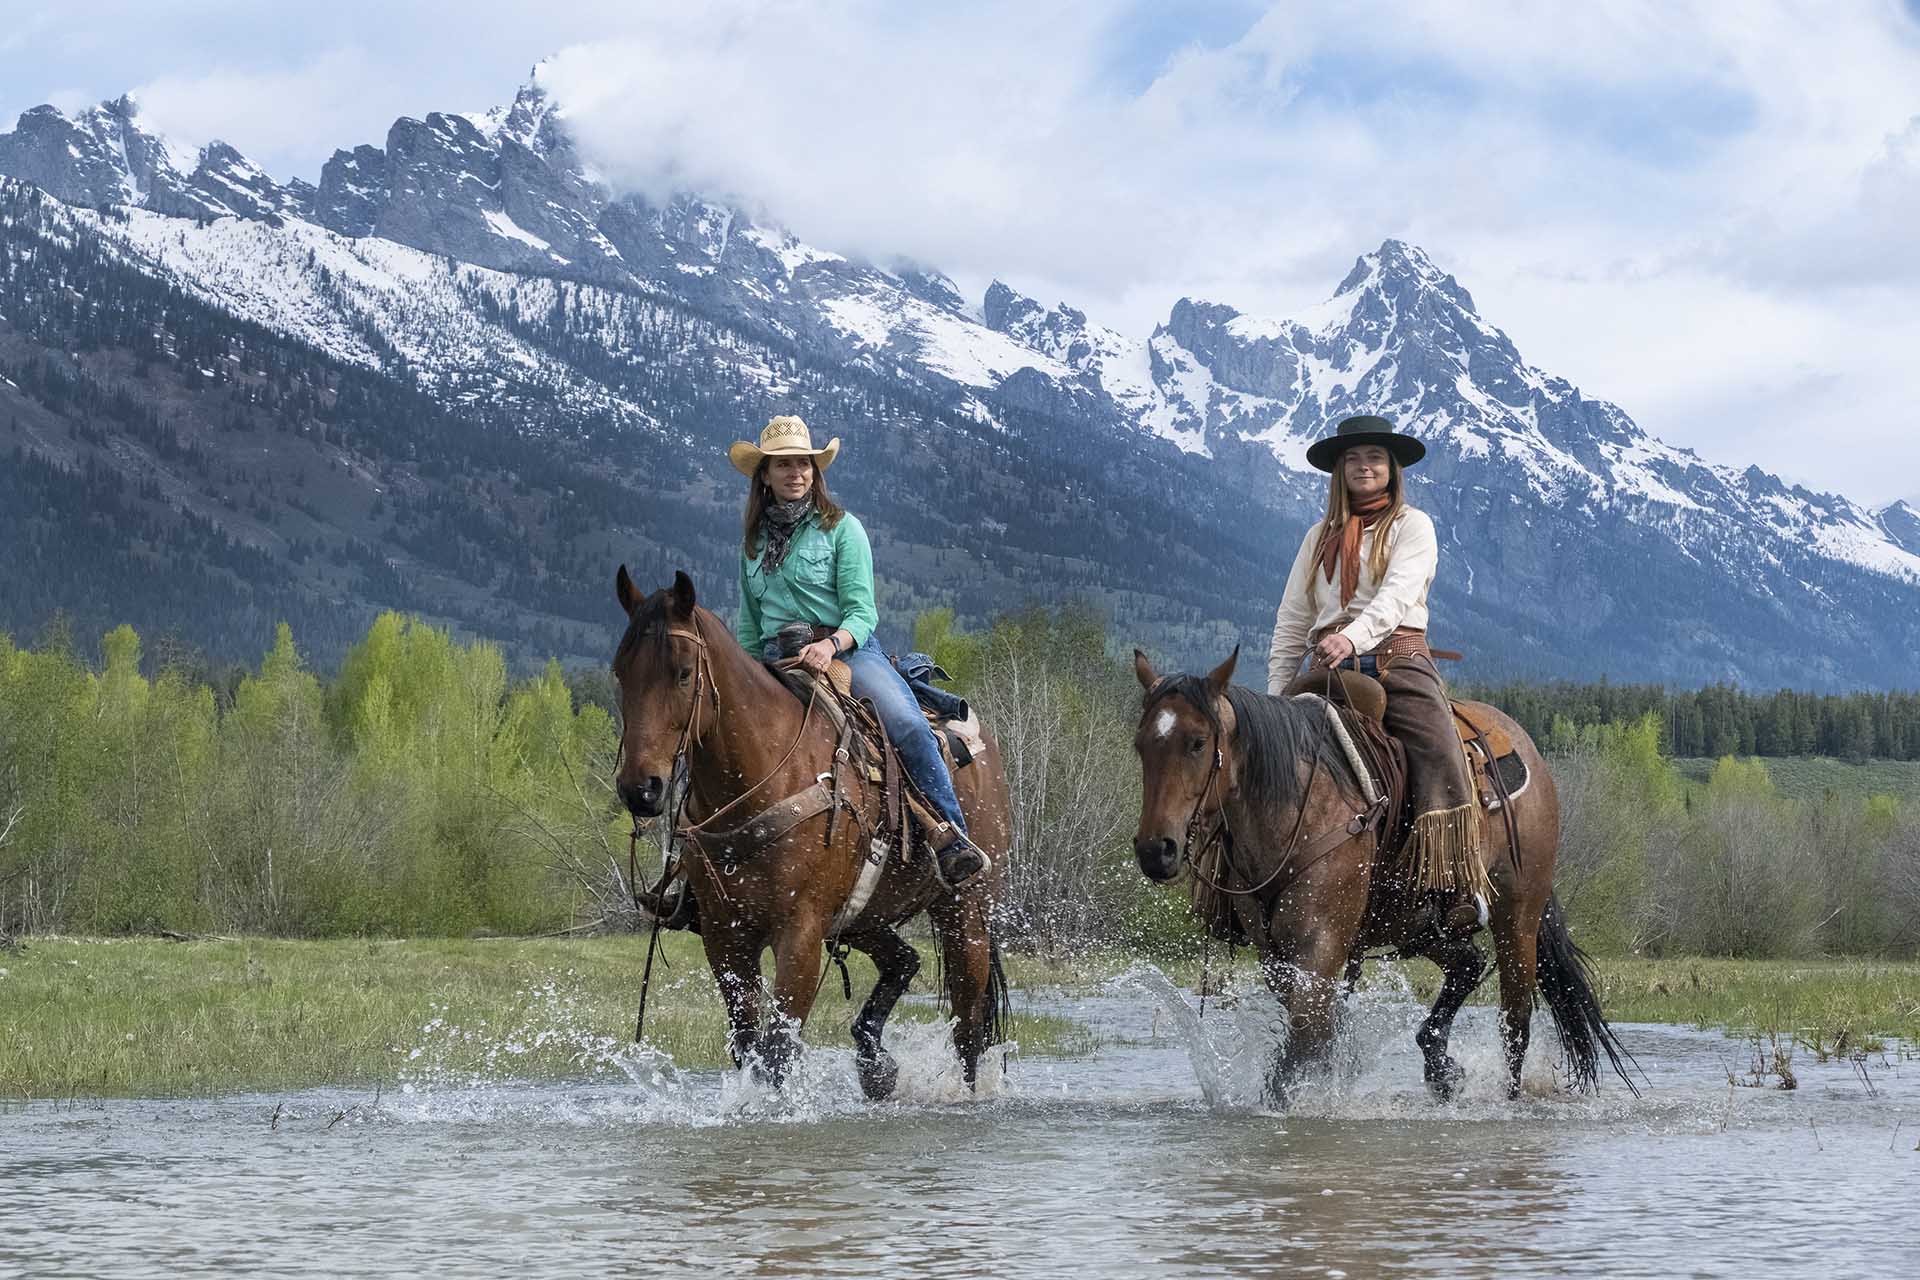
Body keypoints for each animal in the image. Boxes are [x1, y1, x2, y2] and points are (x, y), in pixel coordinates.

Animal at [610, 571, 1021, 1105]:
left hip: (966, 911)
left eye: (682, 673)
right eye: (621, 673)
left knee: (968, 1022)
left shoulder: (800, 933)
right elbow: (748, 1045)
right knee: (903, 960)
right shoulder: (725, 938)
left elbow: (778, 1049)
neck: (762, 776)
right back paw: (875, 1064)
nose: (641, 789)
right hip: (864, 916)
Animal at [1121, 652, 1635, 1105]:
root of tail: (1526, 749)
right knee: (1467, 964)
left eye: (1197, 742)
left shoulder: (1319, 948)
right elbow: (1313, 1038)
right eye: (1141, 745)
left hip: (1518, 917)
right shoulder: (1277, 957)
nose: (1155, 850)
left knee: (1515, 1020)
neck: (1297, 806)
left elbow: (1300, 1050)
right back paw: (1441, 1068)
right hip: (1420, 922)